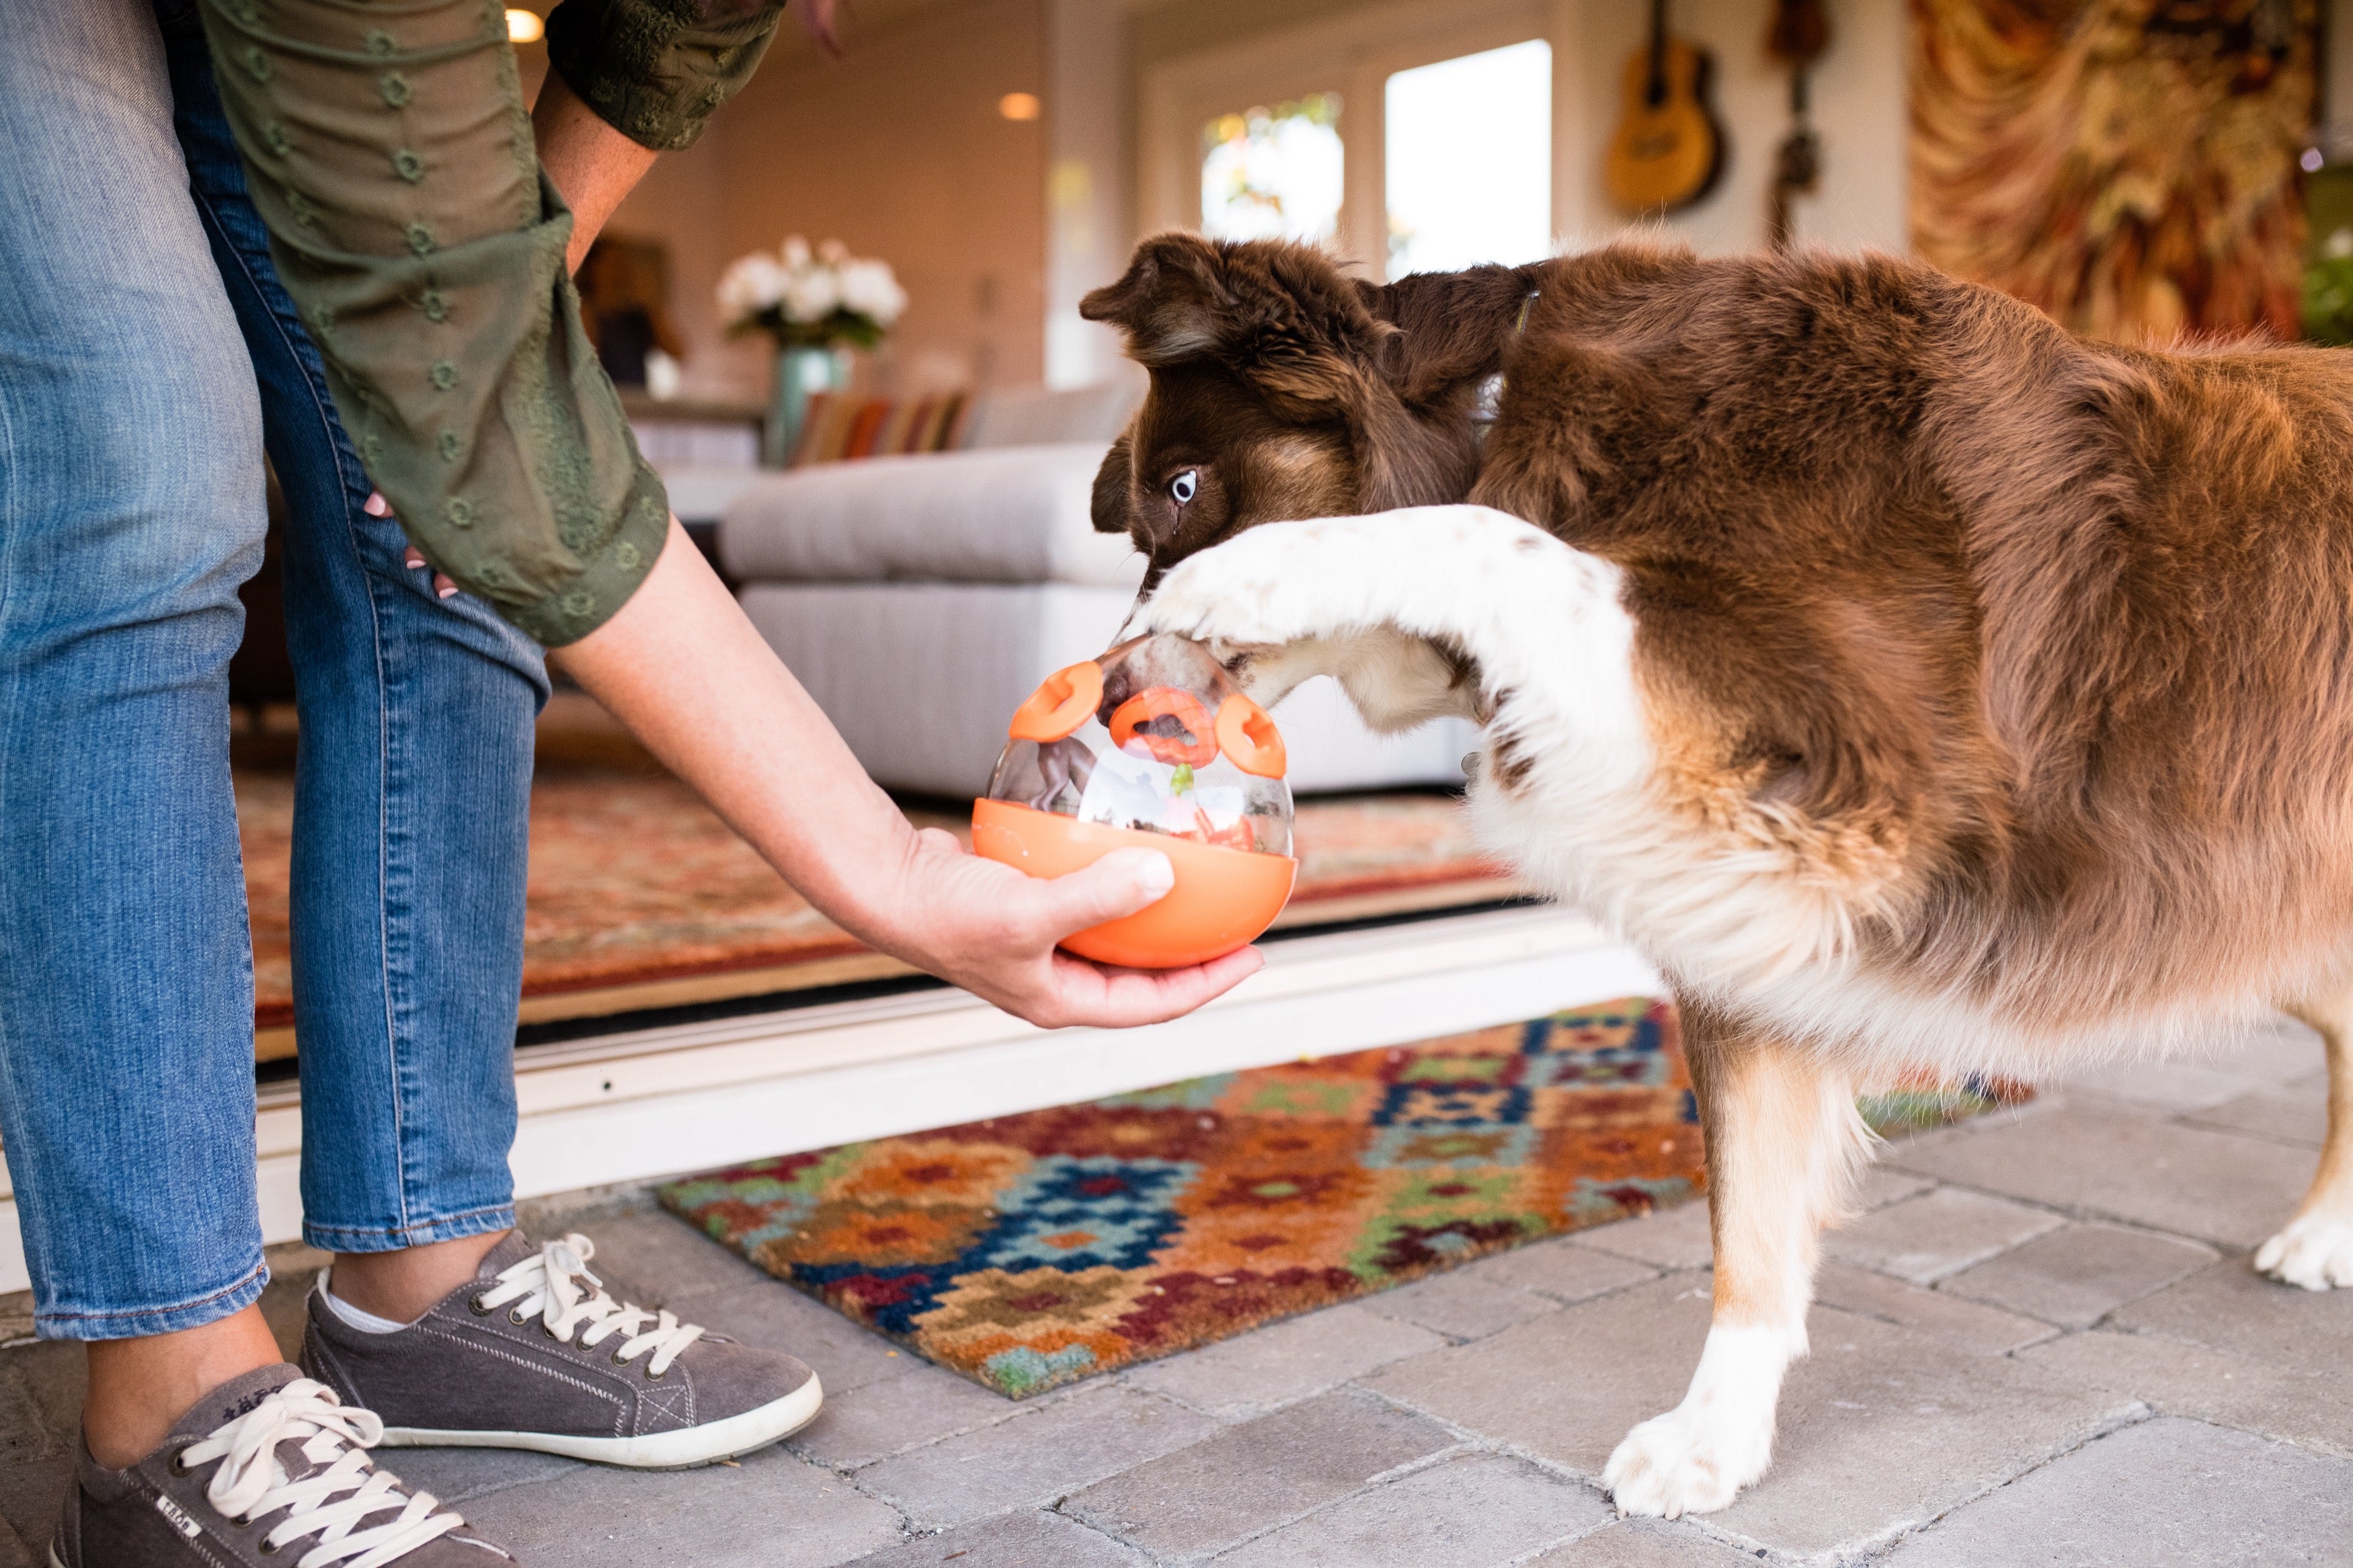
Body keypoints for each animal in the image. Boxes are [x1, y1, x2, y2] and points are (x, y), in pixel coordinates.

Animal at [1092, 233, 2353, 1523]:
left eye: (1182, 492)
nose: (1106, 694)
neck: (1519, 425)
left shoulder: (1854, 765)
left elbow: (1490, 538)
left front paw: (1264, 570)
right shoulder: (1754, 909)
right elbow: (1750, 1223)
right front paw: (1718, 1434)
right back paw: (2328, 1230)